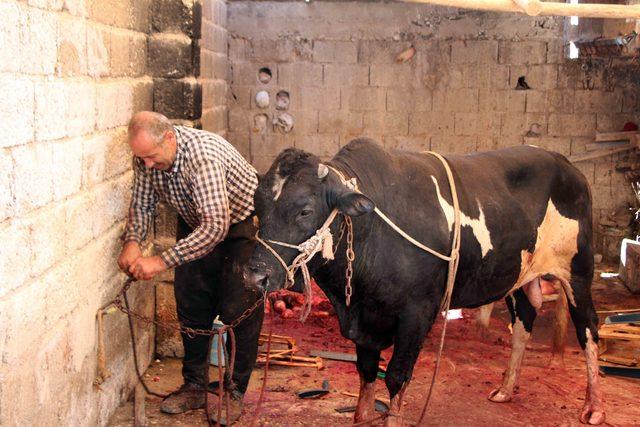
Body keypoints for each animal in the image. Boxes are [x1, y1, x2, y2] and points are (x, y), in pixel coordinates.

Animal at [242, 139, 604, 426]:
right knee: (524, 323)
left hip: (578, 271)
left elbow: (396, 379)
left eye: (305, 210)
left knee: (588, 329)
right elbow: (367, 374)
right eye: (258, 205)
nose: (255, 274)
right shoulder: (365, 319)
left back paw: (594, 407)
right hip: (516, 277)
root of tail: (567, 164)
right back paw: (505, 389)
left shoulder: (416, 314)